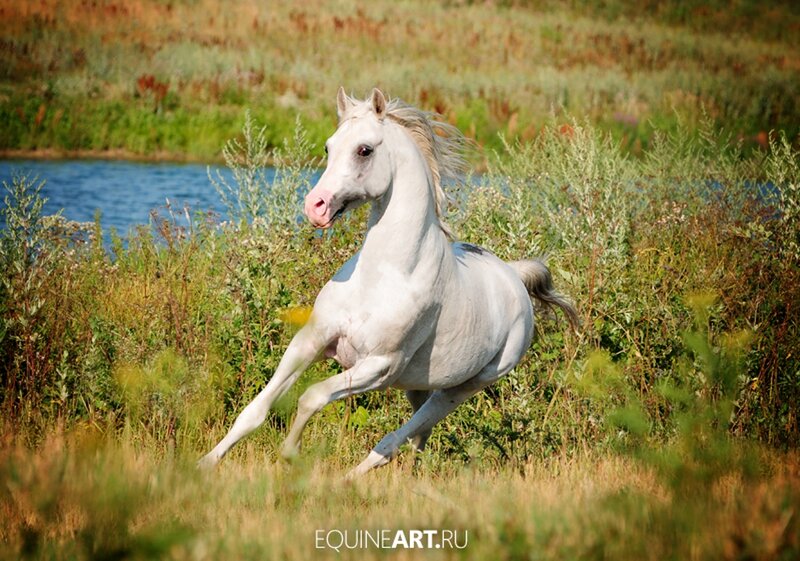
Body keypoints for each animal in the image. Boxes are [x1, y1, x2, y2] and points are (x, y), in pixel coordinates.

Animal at [199, 87, 579, 477]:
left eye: (364, 149)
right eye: (329, 147)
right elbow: (255, 410)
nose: (315, 207)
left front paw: (290, 455)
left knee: (396, 439)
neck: (382, 277)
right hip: (418, 385)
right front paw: (205, 463)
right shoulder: (311, 339)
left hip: (463, 387)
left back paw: (348, 479)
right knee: (417, 438)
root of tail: (514, 276)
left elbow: (312, 396)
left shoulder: (378, 365)